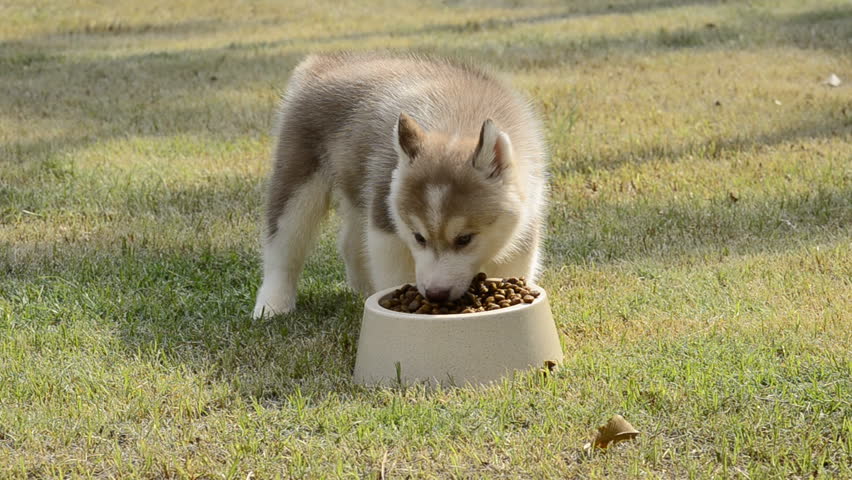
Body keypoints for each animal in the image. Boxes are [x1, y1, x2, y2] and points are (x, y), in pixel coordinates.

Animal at [253, 52, 544, 316]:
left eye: (465, 239)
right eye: (418, 237)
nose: (436, 294)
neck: (457, 123)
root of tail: (322, 64)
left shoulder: (525, 223)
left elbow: (513, 266)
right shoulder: (386, 224)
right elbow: (394, 275)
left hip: (358, 187)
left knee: (350, 242)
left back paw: (363, 288)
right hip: (298, 182)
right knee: (283, 247)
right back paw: (272, 305)